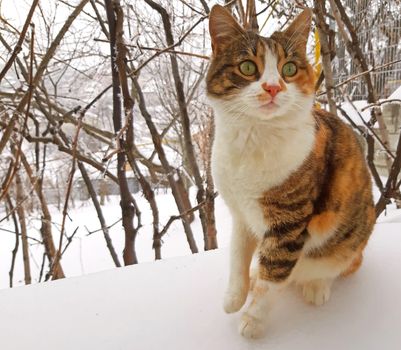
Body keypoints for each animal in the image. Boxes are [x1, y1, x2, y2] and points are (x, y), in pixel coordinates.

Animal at [206, 4, 376, 340]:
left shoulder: (289, 223)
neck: (252, 140)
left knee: (339, 263)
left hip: (354, 236)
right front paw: (235, 296)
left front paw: (253, 320)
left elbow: (273, 274)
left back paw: (316, 285)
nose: (273, 87)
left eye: (289, 69)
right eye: (248, 67)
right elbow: (237, 256)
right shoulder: (240, 213)